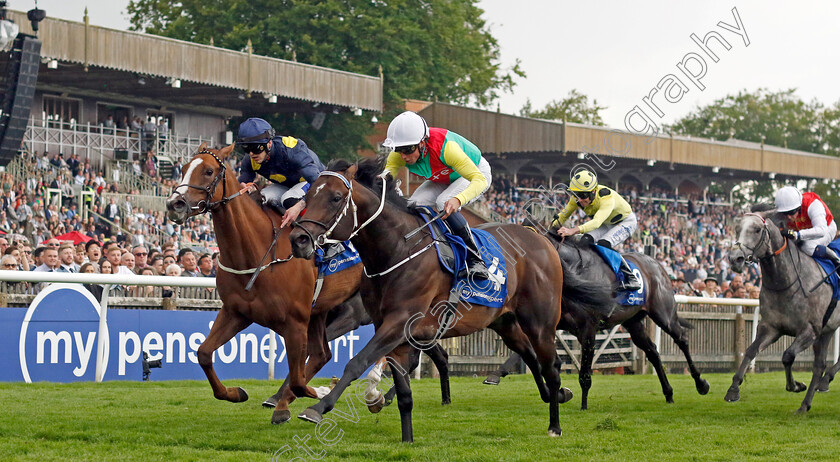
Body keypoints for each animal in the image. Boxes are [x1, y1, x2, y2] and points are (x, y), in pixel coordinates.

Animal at [164, 143, 452, 422]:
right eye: (184, 169)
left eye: (208, 171)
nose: (174, 204)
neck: (256, 249)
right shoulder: (237, 312)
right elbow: (203, 353)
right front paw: (235, 393)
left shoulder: (296, 320)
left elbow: (300, 377)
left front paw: (318, 394)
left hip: (360, 312)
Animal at [288, 156, 612, 440]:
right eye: (308, 195)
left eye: (336, 198)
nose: (298, 239)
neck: (397, 249)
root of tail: (542, 239)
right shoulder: (390, 327)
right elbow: (403, 390)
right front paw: (407, 438)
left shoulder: (400, 321)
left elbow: (357, 362)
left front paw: (318, 407)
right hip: (505, 322)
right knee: (531, 356)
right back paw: (556, 394)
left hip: (541, 321)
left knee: (551, 366)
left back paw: (555, 424)